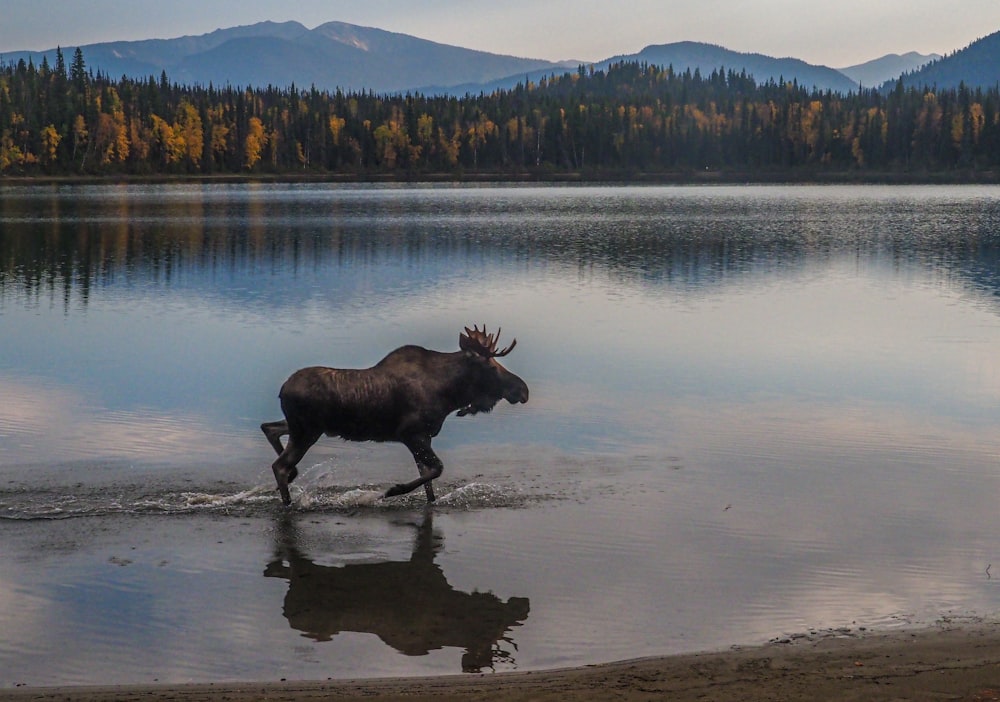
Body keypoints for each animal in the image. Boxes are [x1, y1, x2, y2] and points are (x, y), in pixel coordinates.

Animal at [260, 328, 532, 504]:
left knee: (269, 428)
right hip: (307, 431)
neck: (449, 394)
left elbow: (428, 480)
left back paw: (293, 477)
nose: (523, 390)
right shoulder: (411, 434)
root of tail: (282, 390)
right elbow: (437, 469)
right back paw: (288, 502)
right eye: (490, 366)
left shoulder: (425, 437)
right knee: (279, 465)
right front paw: (392, 490)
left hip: (302, 427)